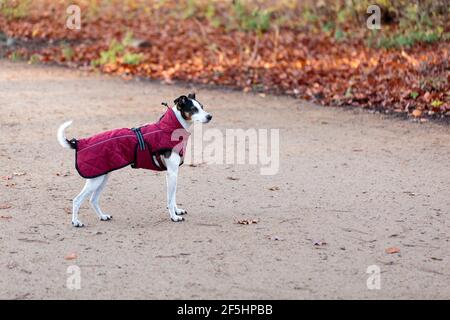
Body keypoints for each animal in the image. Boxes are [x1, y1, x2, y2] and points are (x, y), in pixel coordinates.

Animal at [57, 94, 212, 226]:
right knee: (77, 200)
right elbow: (169, 199)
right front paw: (174, 217)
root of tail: (78, 143)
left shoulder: (172, 174)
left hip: (102, 178)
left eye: (202, 106)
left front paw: (177, 211)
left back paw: (102, 216)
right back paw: (76, 222)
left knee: (93, 200)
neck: (170, 128)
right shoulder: (172, 172)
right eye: (193, 109)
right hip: (95, 180)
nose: (210, 116)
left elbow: (172, 196)